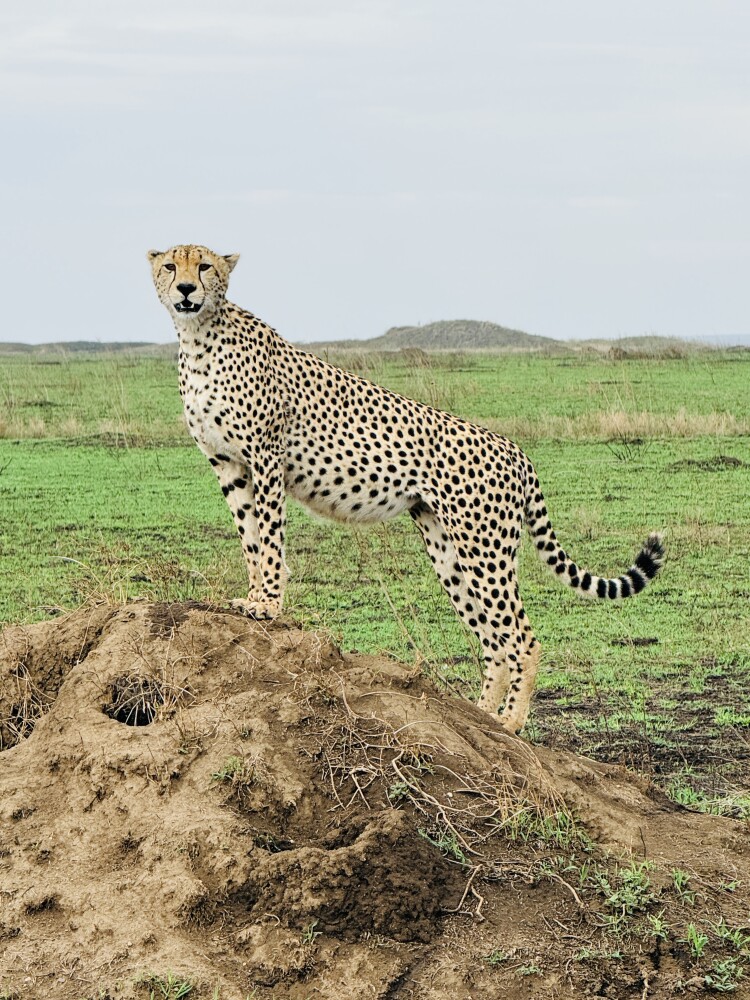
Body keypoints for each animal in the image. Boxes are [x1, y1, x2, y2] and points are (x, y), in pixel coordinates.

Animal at [148, 243, 664, 733]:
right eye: (171, 266)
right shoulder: (227, 465)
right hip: (450, 551)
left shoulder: (266, 457)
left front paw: (270, 605)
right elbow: (250, 538)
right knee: (493, 641)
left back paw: (510, 723)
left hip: (485, 550)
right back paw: (480, 716)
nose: (187, 290)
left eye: (205, 266)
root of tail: (516, 449)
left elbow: (270, 538)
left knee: (522, 637)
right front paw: (252, 598)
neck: (199, 338)